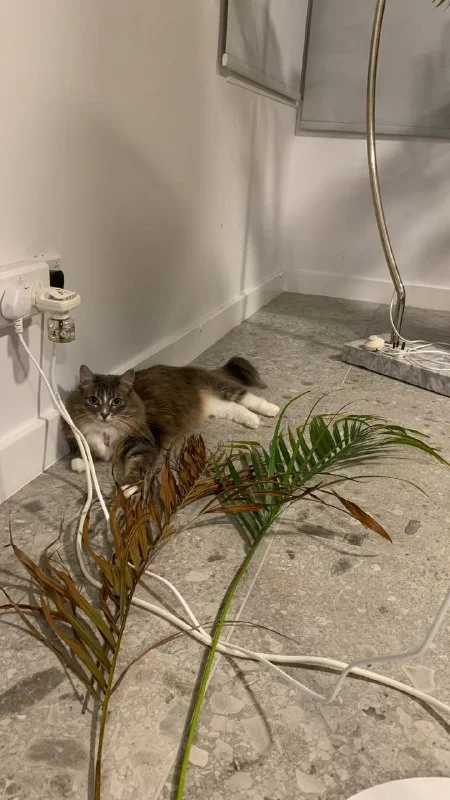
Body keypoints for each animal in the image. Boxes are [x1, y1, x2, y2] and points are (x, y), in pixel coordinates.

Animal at [64, 357, 279, 485]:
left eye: (116, 401)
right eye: (93, 400)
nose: (104, 414)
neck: (106, 431)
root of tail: (187, 368)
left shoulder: (143, 443)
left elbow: (136, 468)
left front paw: (127, 488)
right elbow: (88, 451)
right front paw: (79, 463)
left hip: (223, 388)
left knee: (246, 397)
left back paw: (271, 411)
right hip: (217, 407)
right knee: (236, 408)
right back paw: (252, 420)